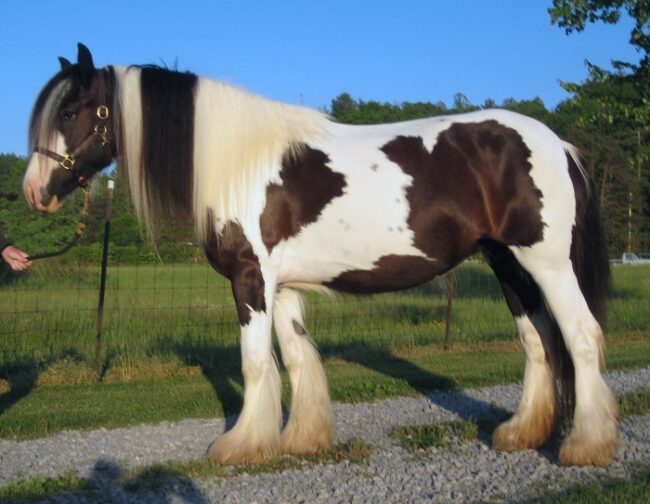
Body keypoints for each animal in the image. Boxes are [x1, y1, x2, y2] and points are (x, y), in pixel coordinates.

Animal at [22, 45, 616, 466]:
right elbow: (298, 359)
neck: (238, 164)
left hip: (547, 263)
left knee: (580, 337)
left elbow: (256, 361)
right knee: (538, 341)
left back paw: (586, 446)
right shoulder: (282, 286)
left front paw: (240, 446)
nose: (34, 191)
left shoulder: (250, 279)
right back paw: (522, 434)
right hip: (508, 263)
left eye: (70, 110)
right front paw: (299, 440)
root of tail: (558, 145)